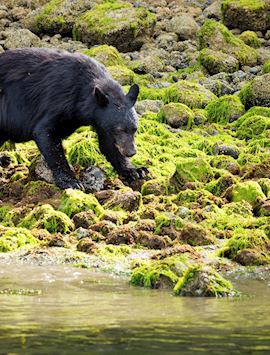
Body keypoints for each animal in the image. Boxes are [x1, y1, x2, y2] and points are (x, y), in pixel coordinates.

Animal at [0, 48, 148, 191]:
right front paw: (70, 180)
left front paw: (135, 170)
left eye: (135, 129)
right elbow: (45, 132)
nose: (131, 152)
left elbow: (108, 144)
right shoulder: (59, 98)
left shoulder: (100, 120)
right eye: (119, 129)